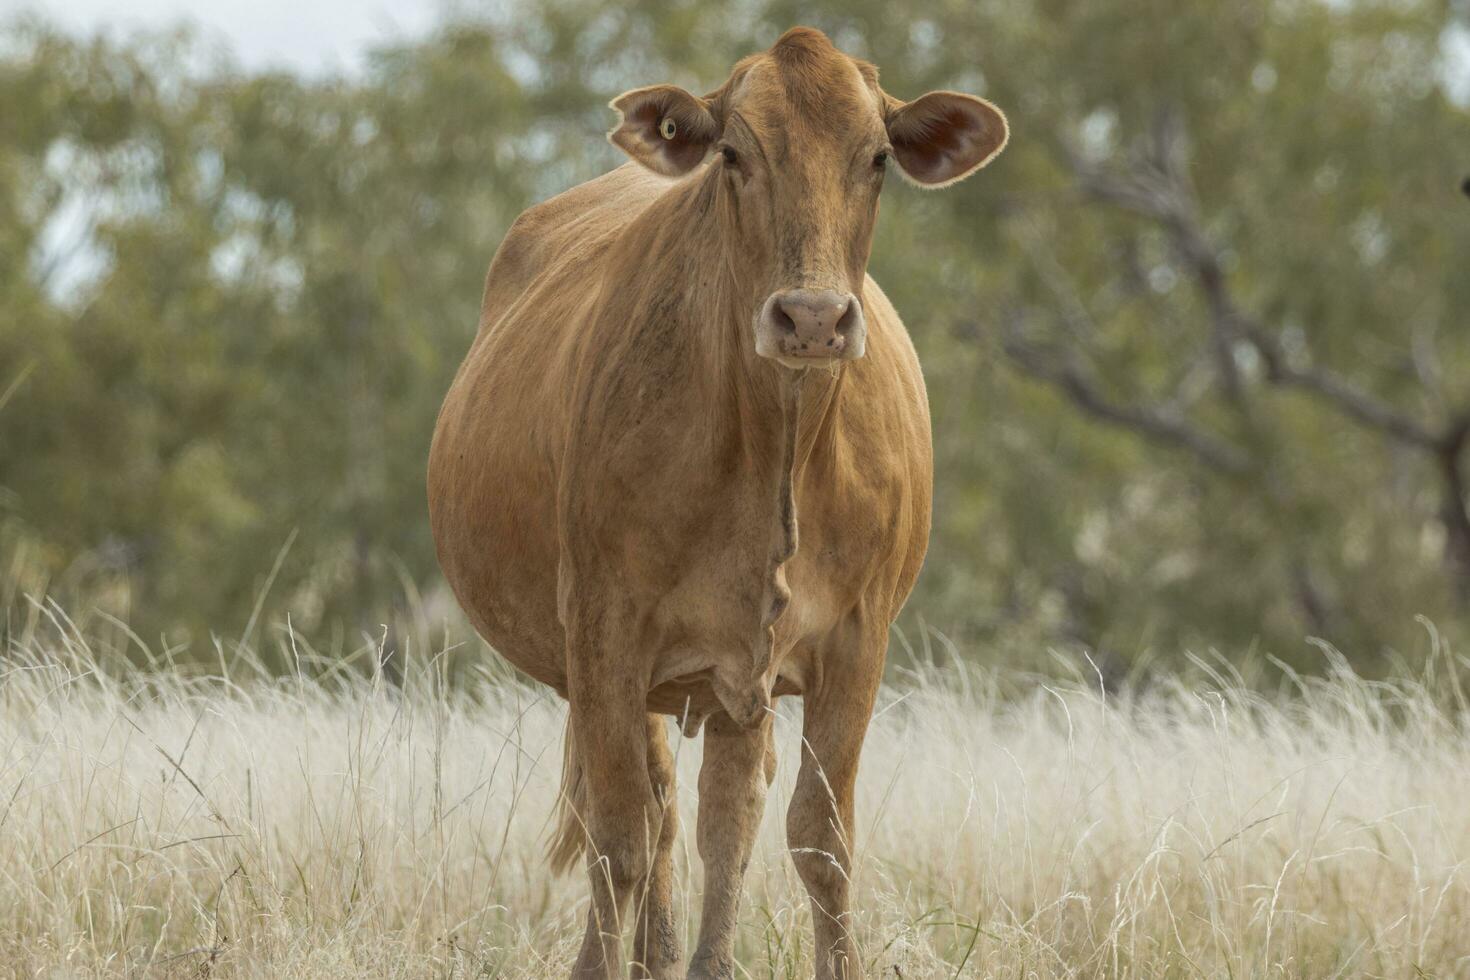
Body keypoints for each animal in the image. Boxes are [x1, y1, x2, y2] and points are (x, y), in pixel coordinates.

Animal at [429, 24, 1011, 980]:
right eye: (734, 153)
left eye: (878, 157)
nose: (811, 318)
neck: (774, 449)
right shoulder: (606, 629)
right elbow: (620, 839)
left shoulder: (855, 641)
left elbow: (818, 839)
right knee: (649, 819)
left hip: (738, 677)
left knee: (717, 816)